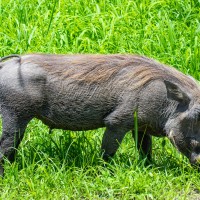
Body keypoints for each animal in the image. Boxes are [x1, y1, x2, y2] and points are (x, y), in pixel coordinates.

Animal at [0, 54, 200, 175]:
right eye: (196, 114)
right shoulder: (117, 123)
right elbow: (108, 153)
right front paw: (105, 174)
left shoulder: (141, 127)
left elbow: (145, 149)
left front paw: (149, 168)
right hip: (15, 116)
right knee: (6, 145)